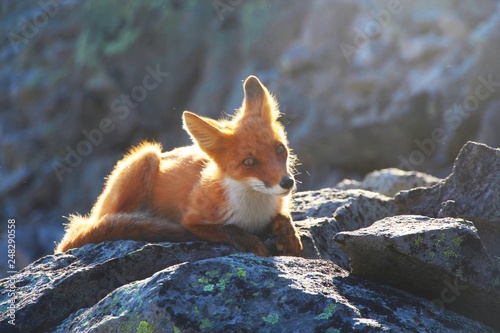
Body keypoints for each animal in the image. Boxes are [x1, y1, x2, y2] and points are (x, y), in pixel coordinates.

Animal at [56, 76, 302, 256]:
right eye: (249, 162)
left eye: (279, 149)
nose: (287, 183)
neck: (253, 211)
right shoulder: (193, 221)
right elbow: (227, 228)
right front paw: (250, 242)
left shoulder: (277, 207)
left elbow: (284, 217)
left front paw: (289, 235)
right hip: (147, 156)